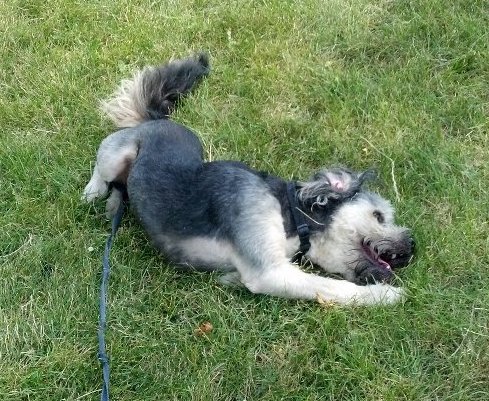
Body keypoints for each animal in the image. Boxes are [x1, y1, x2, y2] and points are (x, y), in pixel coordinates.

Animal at [83, 52, 412, 304]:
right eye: (379, 216)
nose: (412, 246)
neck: (290, 213)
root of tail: (156, 120)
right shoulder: (270, 272)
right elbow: (334, 287)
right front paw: (384, 295)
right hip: (117, 153)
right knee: (102, 162)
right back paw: (93, 192)